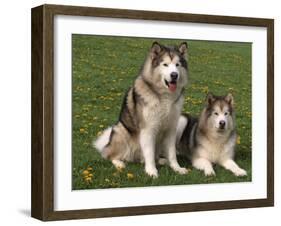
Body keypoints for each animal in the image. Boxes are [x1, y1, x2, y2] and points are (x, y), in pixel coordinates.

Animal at [94, 41, 188, 177]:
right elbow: (149, 152)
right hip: (120, 131)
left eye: (177, 65)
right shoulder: (148, 129)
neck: (164, 96)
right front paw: (151, 171)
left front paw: (177, 168)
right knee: (110, 155)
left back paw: (162, 160)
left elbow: (172, 153)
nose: (174, 75)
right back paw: (119, 163)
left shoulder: (171, 129)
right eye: (165, 64)